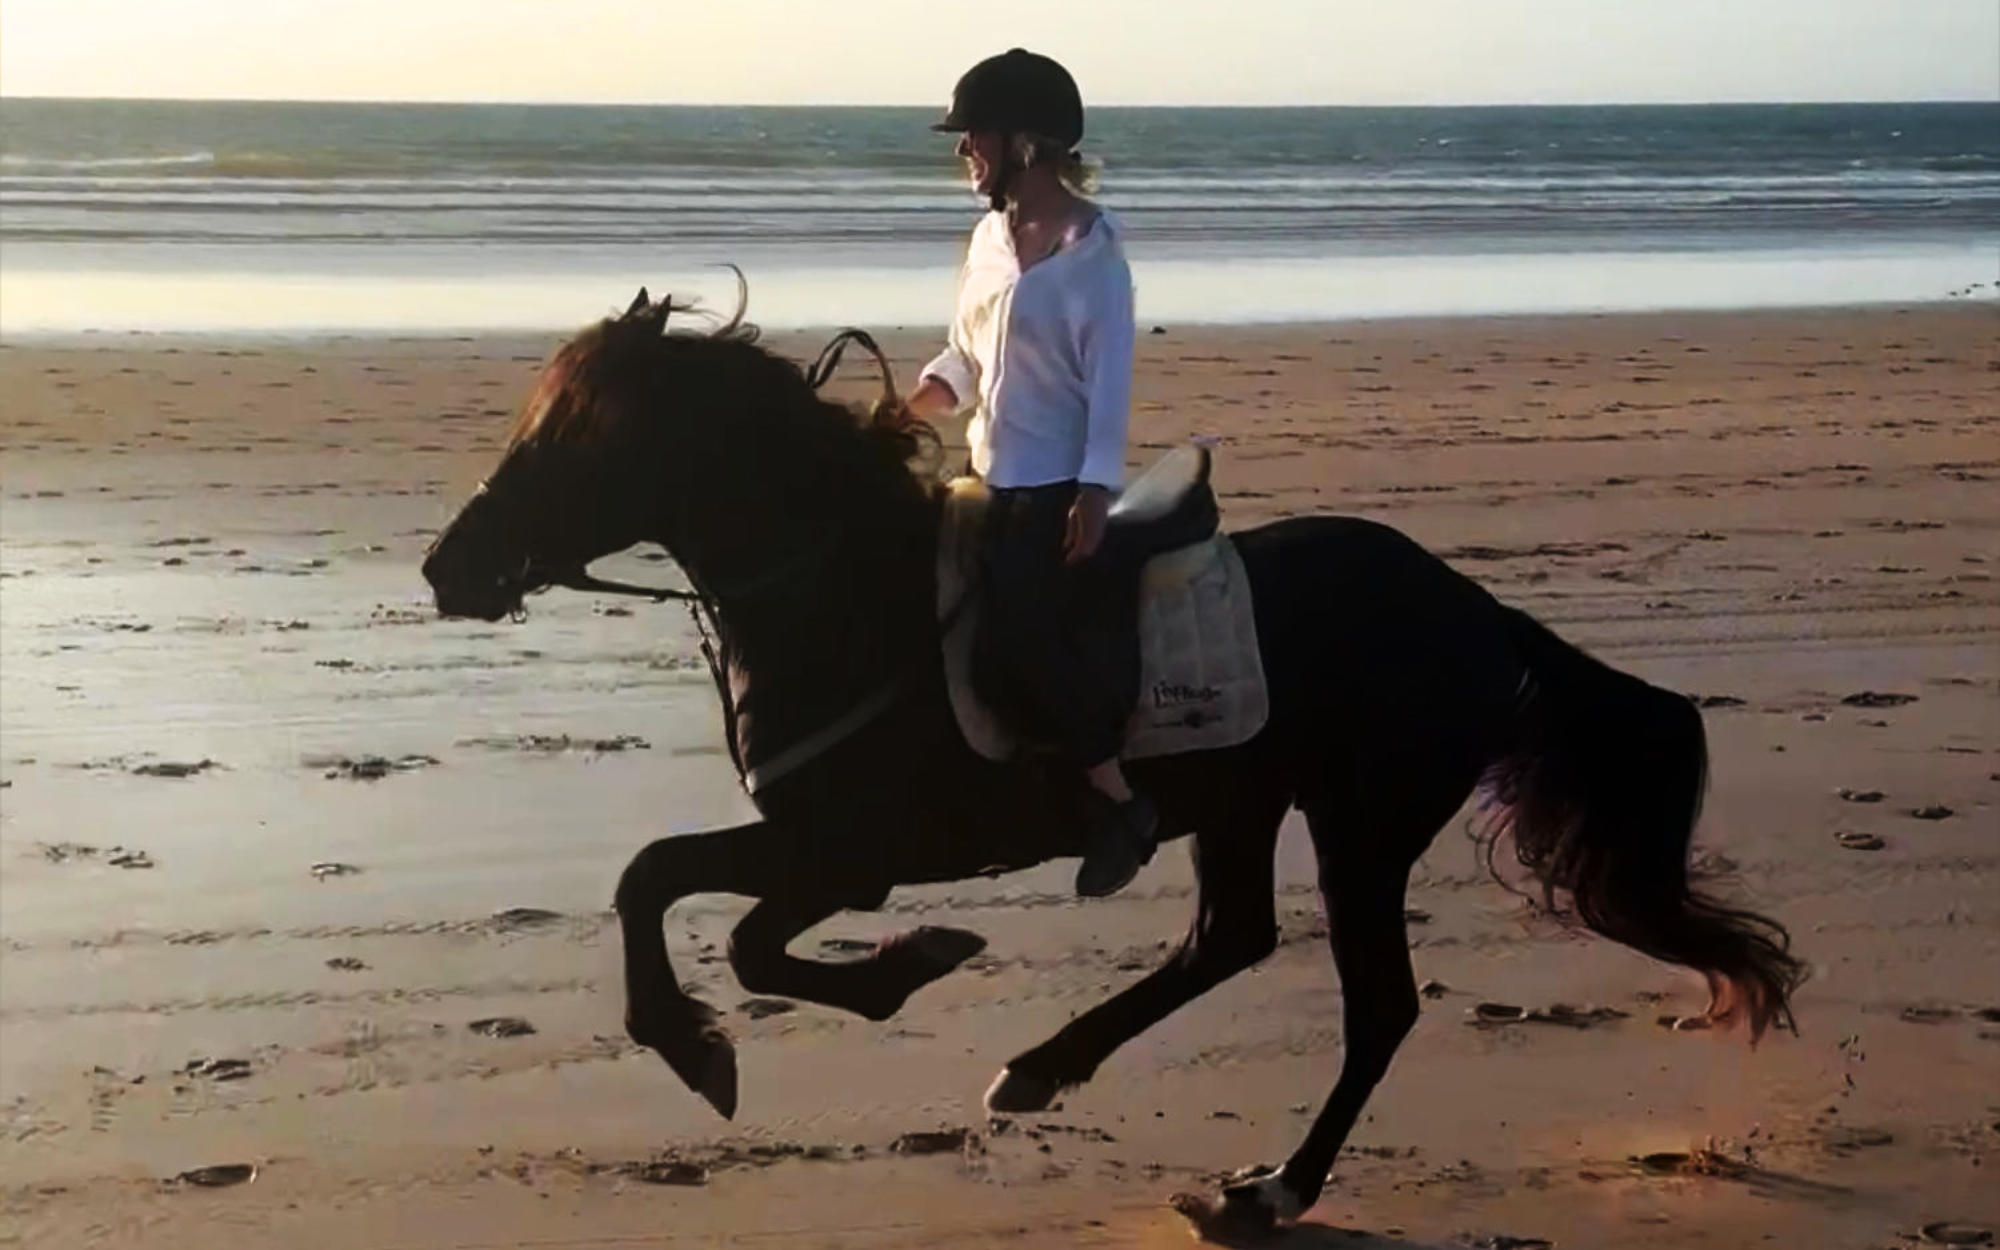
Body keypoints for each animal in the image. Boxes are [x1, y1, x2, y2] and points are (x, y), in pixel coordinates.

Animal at [420, 289, 1804, 1229]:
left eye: (571, 438)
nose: (447, 569)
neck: (840, 591)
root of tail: (1480, 612)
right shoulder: (822, 849)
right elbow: (667, 887)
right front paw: (781, 1014)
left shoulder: (852, 851)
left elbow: (699, 905)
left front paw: (824, 998)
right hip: (1245, 801)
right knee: (1228, 936)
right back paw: (1044, 1067)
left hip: (1359, 820)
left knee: (1374, 1002)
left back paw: (1272, 1186)